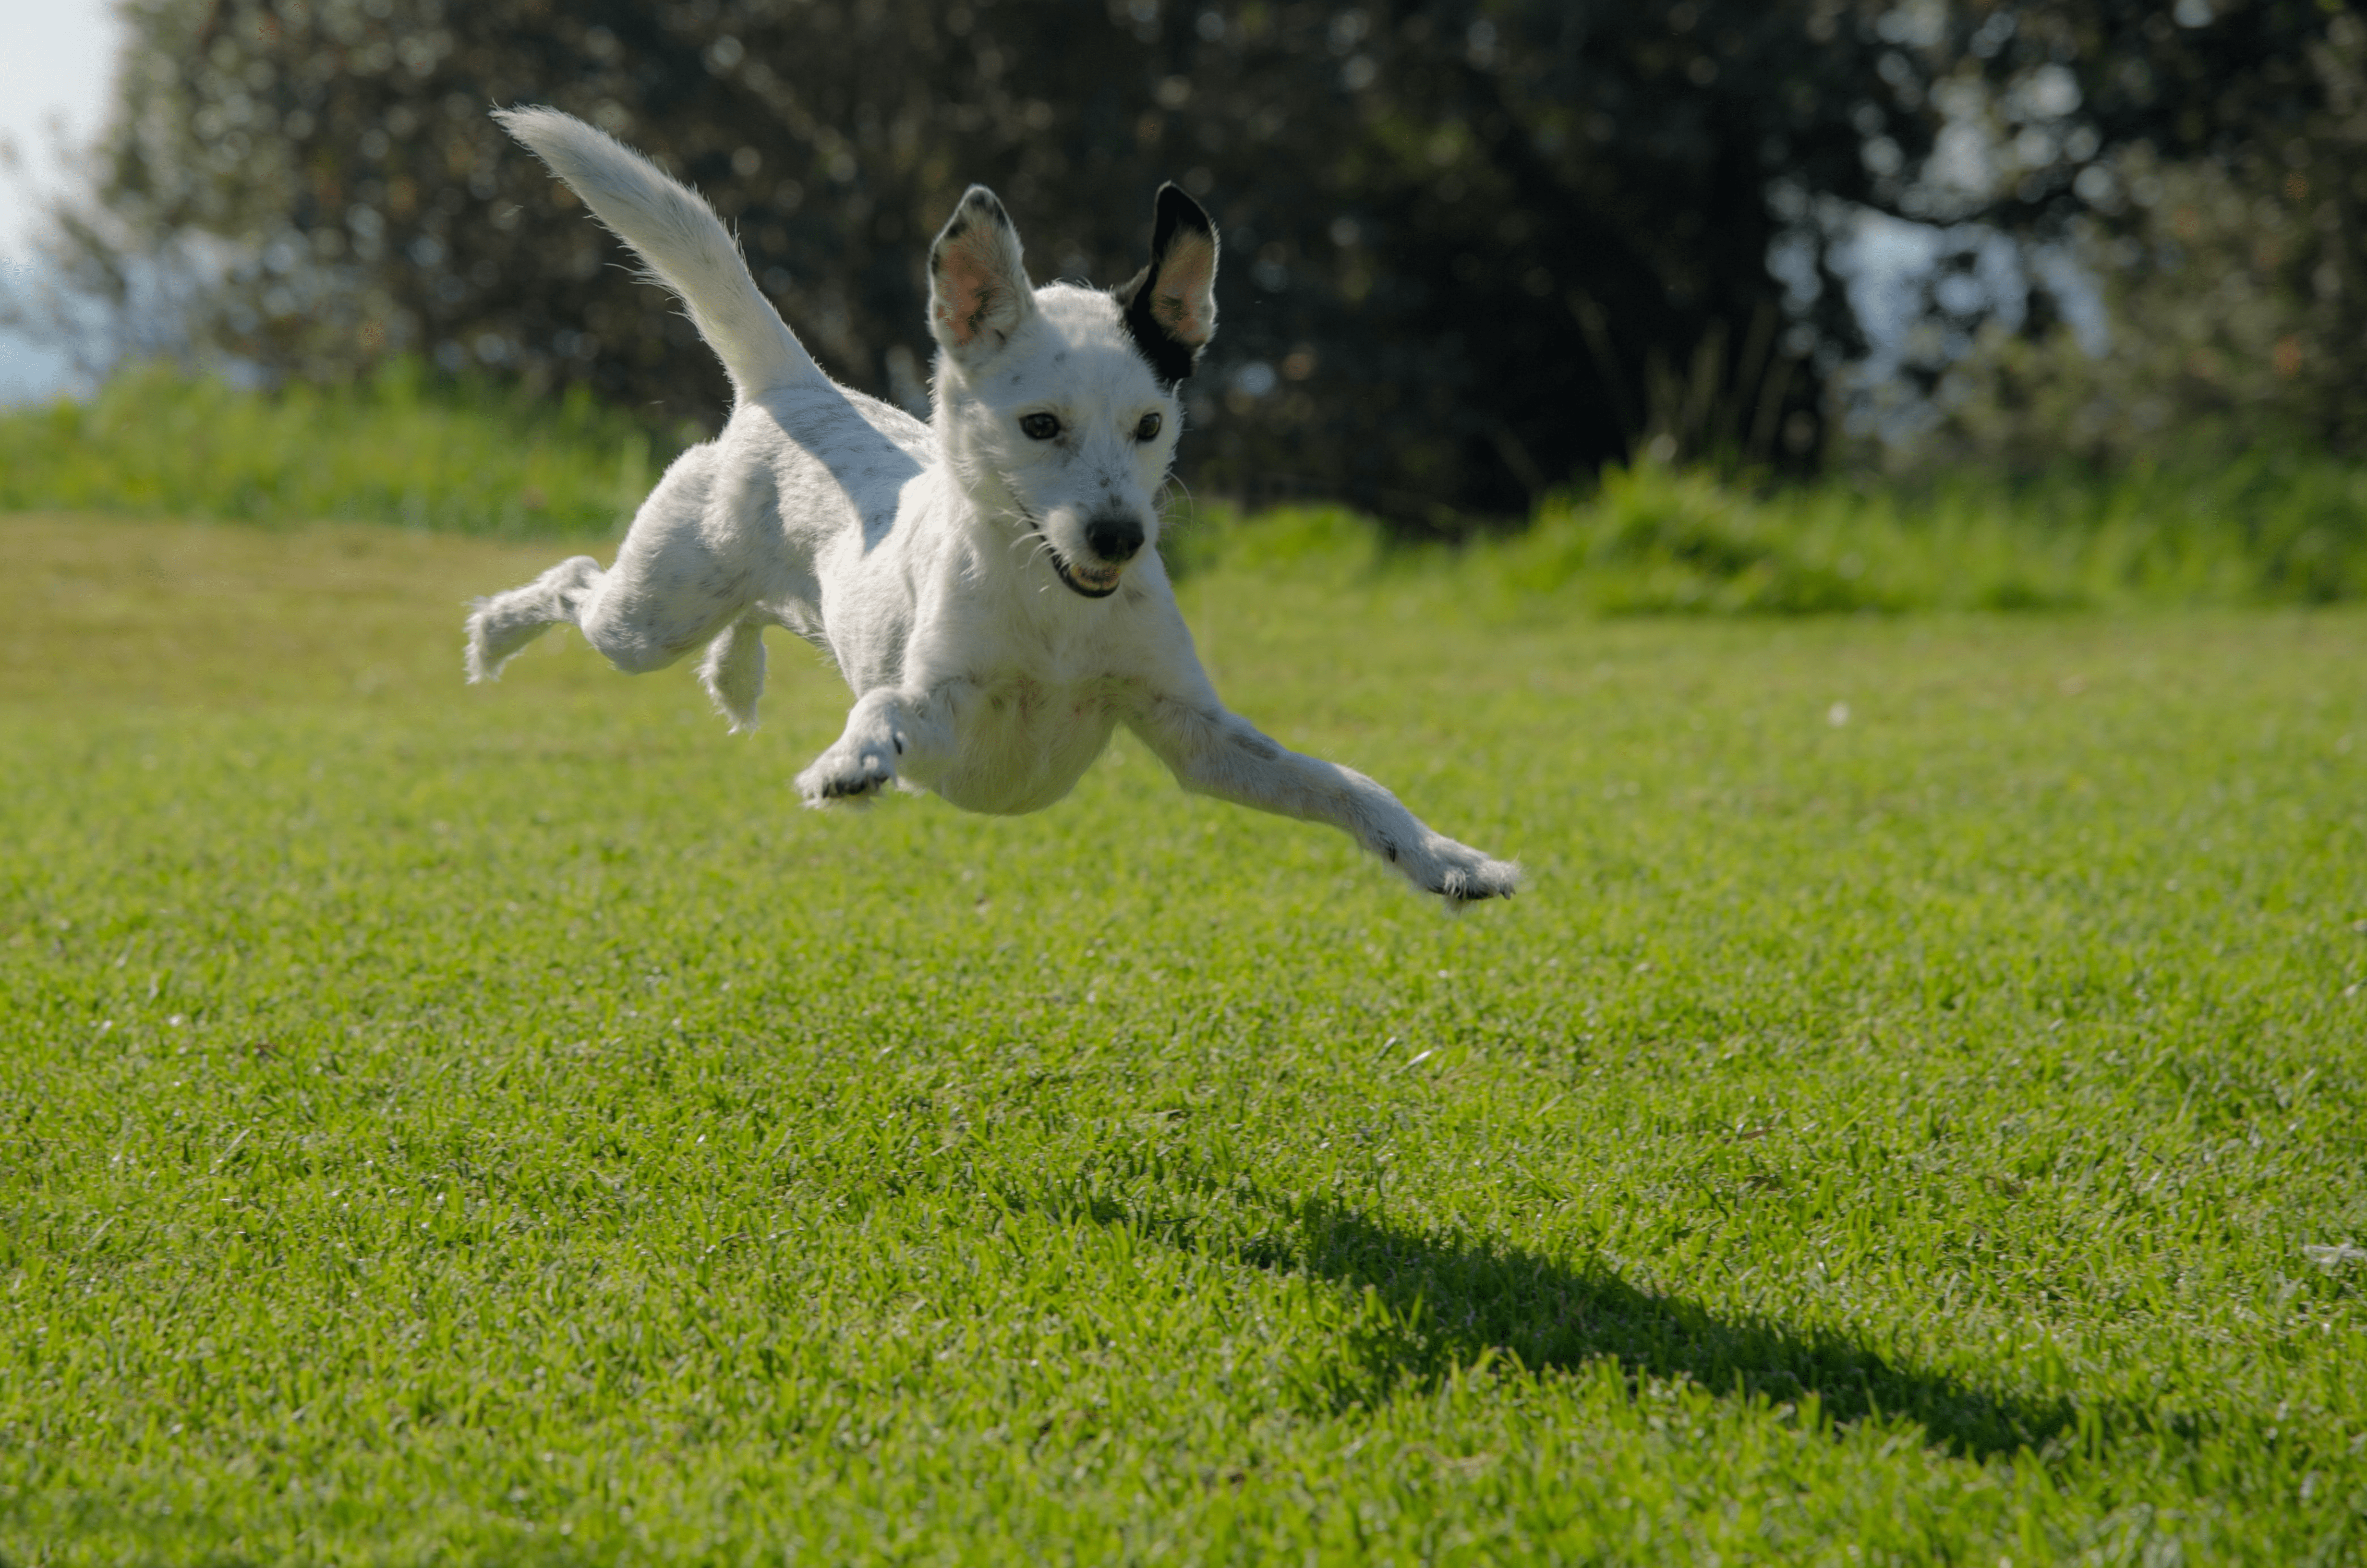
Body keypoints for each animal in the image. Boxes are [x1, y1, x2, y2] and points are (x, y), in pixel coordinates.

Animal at [471, 107, 1524, 909]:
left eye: (1150, 424)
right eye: (1040, 424)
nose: (1119, 537)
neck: (1054, 610)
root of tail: (796, 388)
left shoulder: (1196, 735)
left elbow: (1347, 783)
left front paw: (1445, 859)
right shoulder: (946, 713)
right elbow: (885, 706)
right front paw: (851, 759)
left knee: (746, 619)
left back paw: (734, 674)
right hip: (651, 614)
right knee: (576, 582)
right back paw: (493, 636)